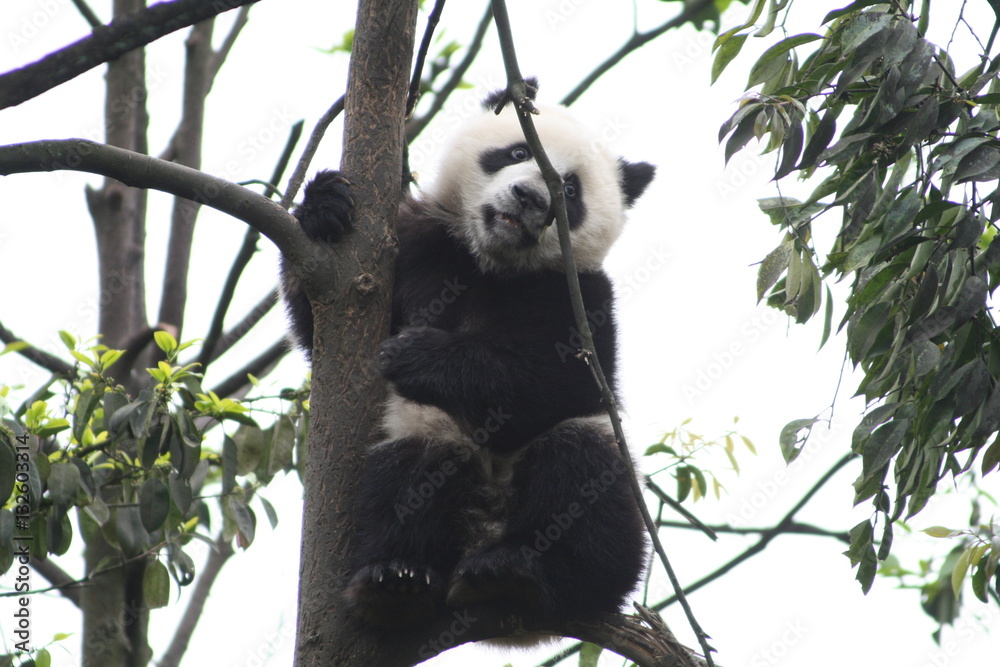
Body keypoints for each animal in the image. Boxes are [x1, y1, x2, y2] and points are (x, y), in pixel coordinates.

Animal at [280, 83, 655, 634]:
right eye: (517, 153)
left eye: (569, 190)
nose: (531, 198)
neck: (490, 263)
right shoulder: (414, 249)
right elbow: (320, 326)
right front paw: (326, 208)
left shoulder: (580, 295)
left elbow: (561, 379)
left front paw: (417, 355)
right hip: (426, 443)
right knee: (413, 468)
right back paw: (398, 580)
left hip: (596, 487)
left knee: (585, 475)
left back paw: (520, 573)